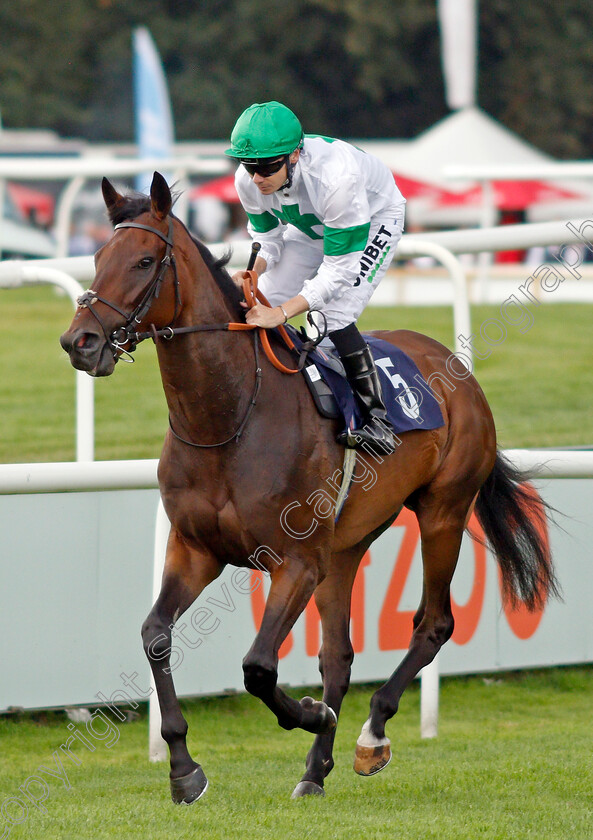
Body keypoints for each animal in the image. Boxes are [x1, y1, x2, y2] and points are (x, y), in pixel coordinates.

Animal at [59, 169, 556, 800]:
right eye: (98, 256)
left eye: (145, 261)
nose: (80, 342)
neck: (229, 418)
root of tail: (458, 372)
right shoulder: (195, 548)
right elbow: (155, 635)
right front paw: (183, 767)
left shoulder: (293, 561)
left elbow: (258, 666)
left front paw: (313, 713)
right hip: (343, 549)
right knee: (338, 654)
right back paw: (315, 770)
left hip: (443, 509)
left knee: (434, 623)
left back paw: (370, 736)